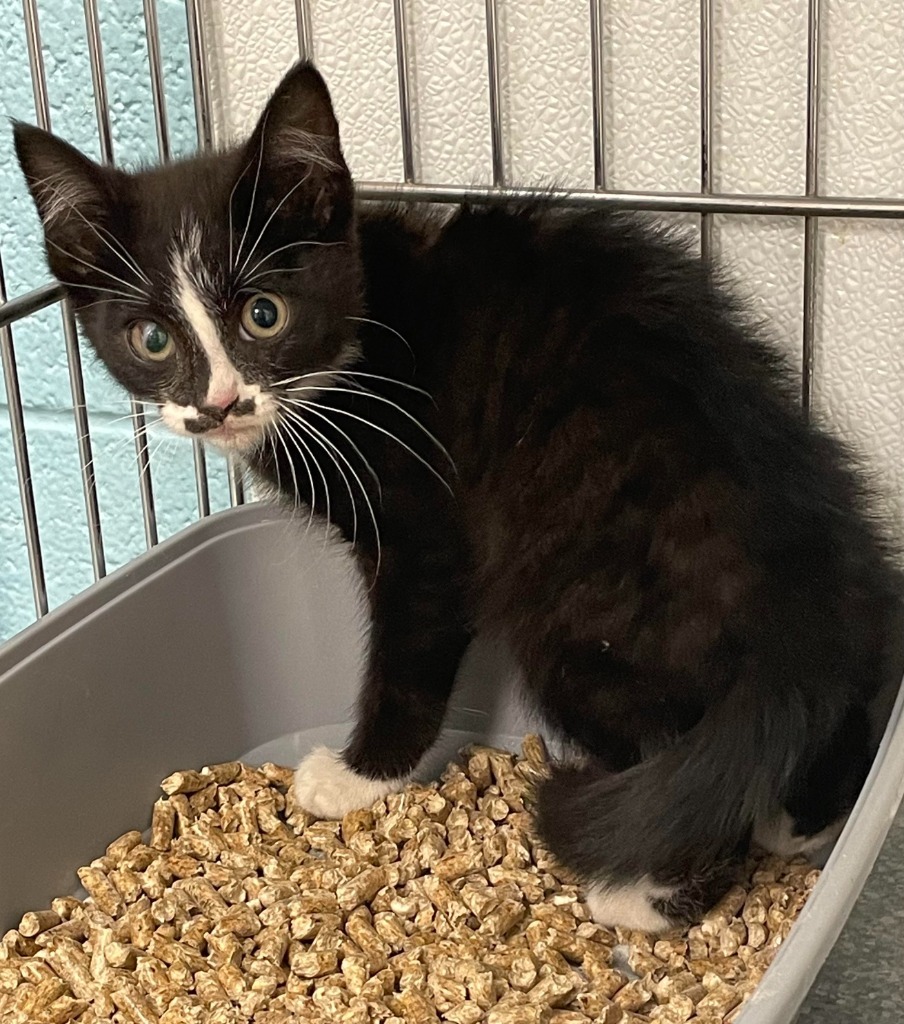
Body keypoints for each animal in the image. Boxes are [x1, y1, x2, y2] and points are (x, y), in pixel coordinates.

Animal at [15, 59, 904, 933]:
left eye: (264, 315)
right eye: (151, 339)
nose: (221, 404)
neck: (359, 338)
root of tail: (797, 623)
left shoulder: (425, 525)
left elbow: (410, 654)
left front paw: (355, 776)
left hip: (580, 619)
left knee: (684, 772)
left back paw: (642, 895)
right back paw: (800, 820)